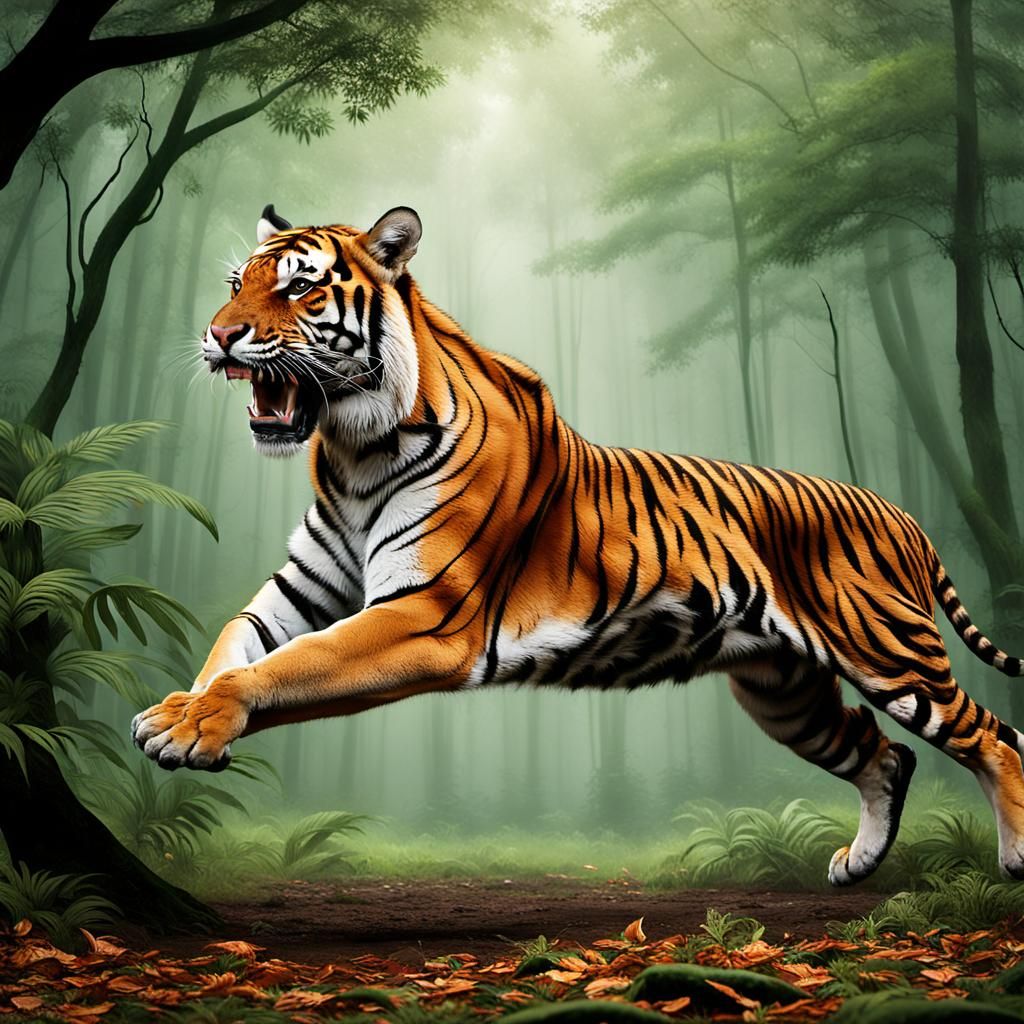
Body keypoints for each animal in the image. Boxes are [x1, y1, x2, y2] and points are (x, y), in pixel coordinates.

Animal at [132, 204, 1024, 885]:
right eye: (235, 285)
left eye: (300, 286)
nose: (218, 335)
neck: (350, 448)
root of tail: (900, 513)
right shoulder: (301, 587)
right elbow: (236, 642)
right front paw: (180, 713)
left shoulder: (425, 615)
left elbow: (291, 665)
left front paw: (195, 721)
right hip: (783, 693)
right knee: (886, 756)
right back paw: (859, 863)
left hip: (892, 655)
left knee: (993, 735)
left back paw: (1014, 857)